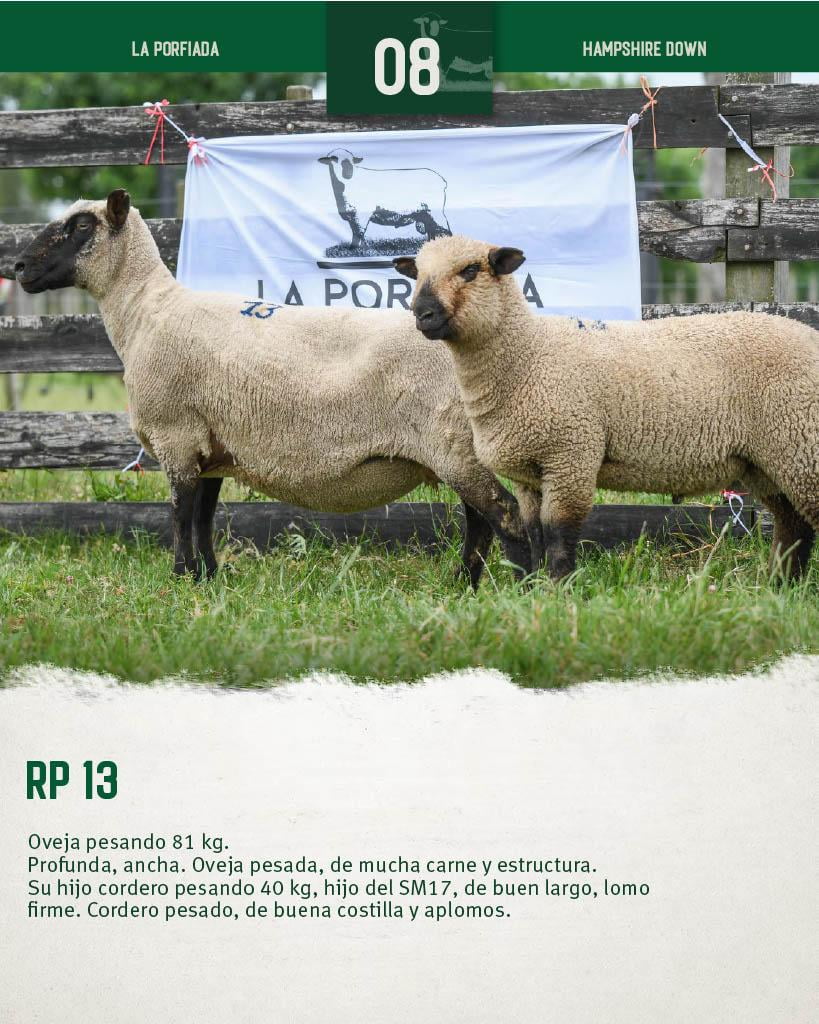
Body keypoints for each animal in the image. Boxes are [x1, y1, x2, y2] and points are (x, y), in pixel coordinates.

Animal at [15, 193, 531, 585]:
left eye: (82, 225)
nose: (17, 266)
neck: (145, 311)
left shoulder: (176, 436)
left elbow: (180, 514)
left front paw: (180, 578)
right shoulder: (210, 444)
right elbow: (203, 516)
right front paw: (208, 577)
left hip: (452, 444)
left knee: (502, 513)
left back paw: (520, 588)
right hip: (455, 447)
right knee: (481, 520)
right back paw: (464, 585)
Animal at [394, 234, 819, 582]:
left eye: (470, 270)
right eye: (417, 274)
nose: (422, 313)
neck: (529, 354)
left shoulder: (571, 455)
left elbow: (558, 534)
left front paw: (558, 592)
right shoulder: (530, 472)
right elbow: (534, 532)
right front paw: (532, 593)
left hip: (800, 443)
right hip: (771, 461)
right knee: (793, 526)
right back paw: (780, 586)